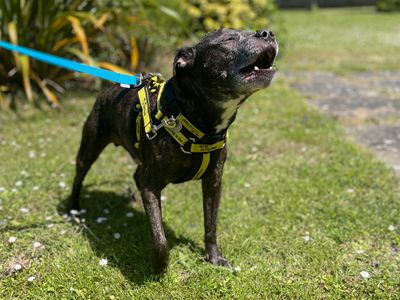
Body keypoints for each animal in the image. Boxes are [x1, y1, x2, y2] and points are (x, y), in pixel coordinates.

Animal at [69, 28, 278, 274]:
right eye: (228, 39)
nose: (267, 33)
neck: (192, 121)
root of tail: (109, 88)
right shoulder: (151, 184)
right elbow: (160, 238)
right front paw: (158, 268)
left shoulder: (213, 182)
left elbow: (211, 225)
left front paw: (214, 258)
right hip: (90, 147)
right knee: (79, 177)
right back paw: (73, 210)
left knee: (135, 175)